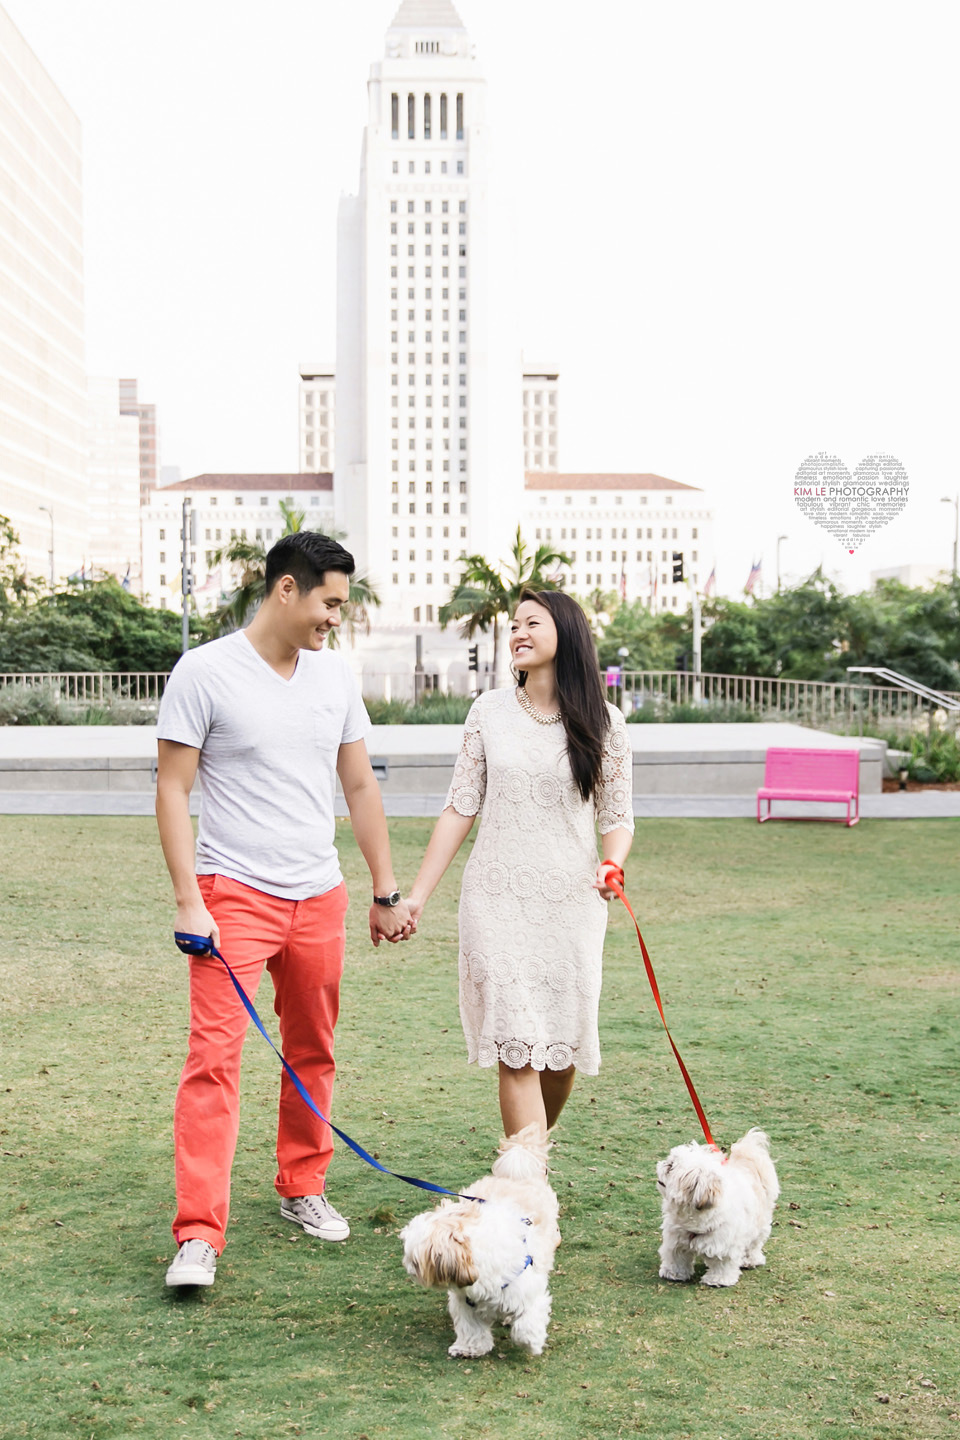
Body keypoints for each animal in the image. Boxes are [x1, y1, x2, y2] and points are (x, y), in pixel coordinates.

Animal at [400, 1123, 564, 1359]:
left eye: (414, 1260)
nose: (408, 1268)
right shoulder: (465, 1303)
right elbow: (472, 1329)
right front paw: (469, 1349)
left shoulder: (528, 1294)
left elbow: (525, 1325)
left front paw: (531, 1343)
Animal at [653, 1128, 782, 1290]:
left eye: (671, 1167)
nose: (663, 1163)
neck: (692, 1216)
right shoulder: (675, 1239)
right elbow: (677, 1258)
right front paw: (674, 1274)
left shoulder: (724, 1244)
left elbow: (722, 1264)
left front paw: (718, 1280)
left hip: (759, 1225)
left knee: (753, 1244)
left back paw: (749, 1260)